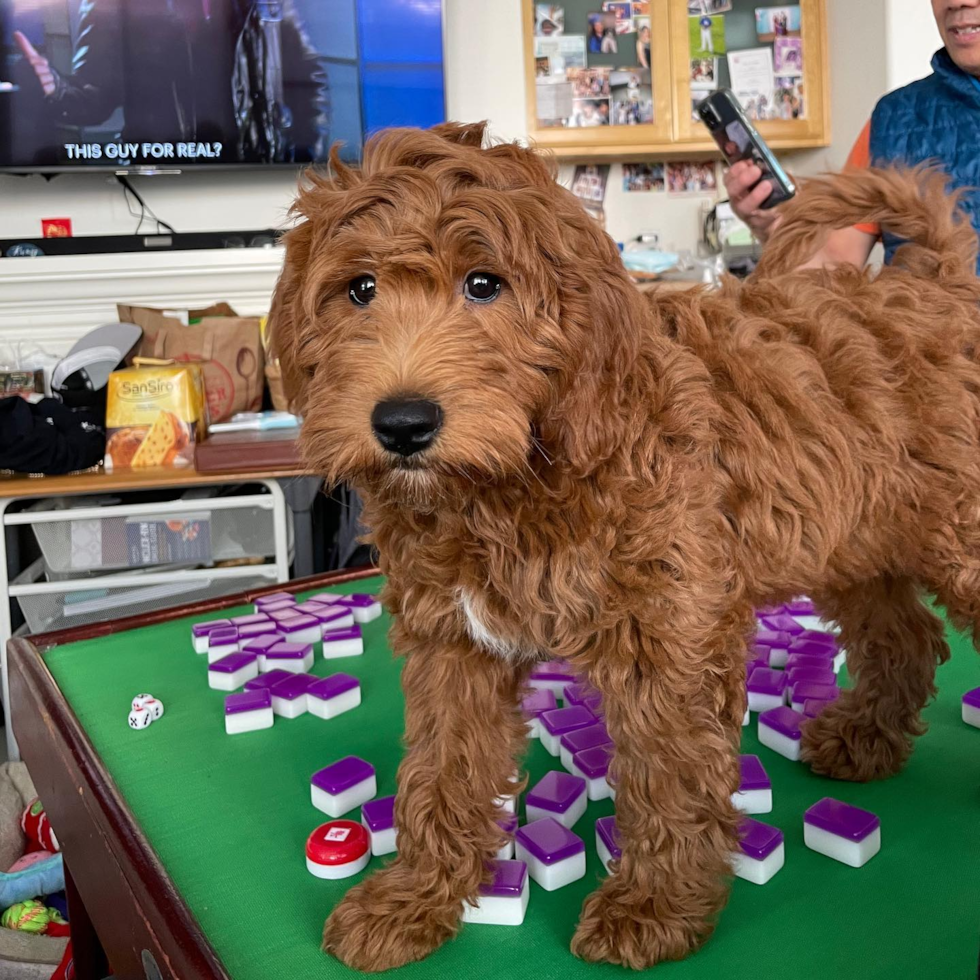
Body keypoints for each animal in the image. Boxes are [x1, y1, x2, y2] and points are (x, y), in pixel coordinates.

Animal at [272, 124, 980, 972]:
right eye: (359, 290)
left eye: (484, 285)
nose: (403, 423)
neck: (511, 478)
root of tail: (938, 281)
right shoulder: (453, 641)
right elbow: (442, 768)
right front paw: (414, 897)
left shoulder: (669, 631)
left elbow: (667, 771)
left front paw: (654, 906)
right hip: (852, 535)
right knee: (904, 634)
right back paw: (867, 737)